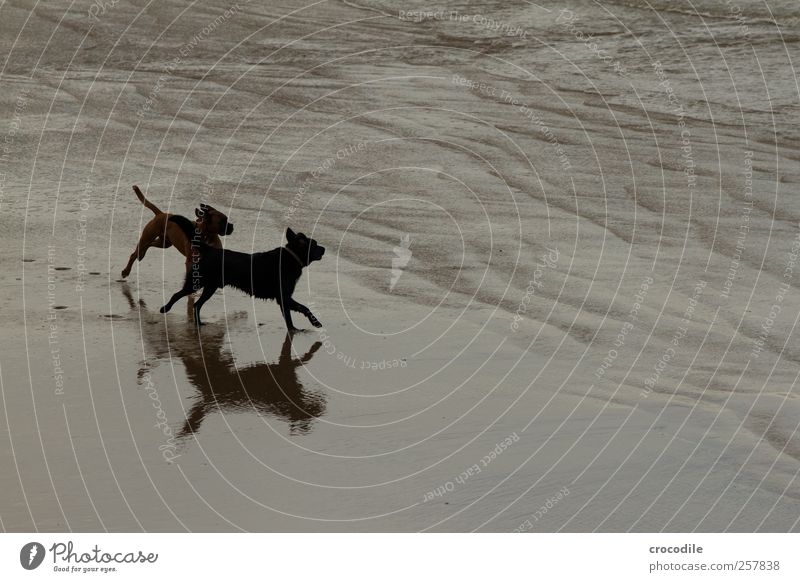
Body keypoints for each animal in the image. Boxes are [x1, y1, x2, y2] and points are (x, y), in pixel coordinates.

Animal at [159, 226, 324, 330]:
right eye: (315, 244)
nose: (324, 248)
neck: (291, 258)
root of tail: (210, 250)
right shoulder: (283, 297)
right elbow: (303, 308)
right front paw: (312, 324)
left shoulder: (284, 298)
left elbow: (292, 316)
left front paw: (295, 329)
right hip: (199, 282)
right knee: (178, 295)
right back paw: (165, 308)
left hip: (210, 286)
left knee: (196, 304)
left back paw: (198, 324)